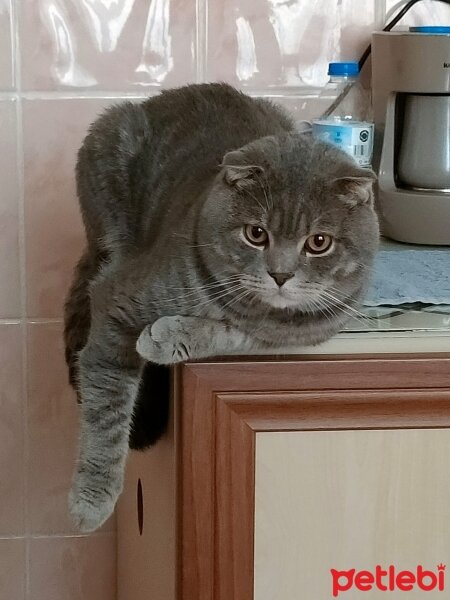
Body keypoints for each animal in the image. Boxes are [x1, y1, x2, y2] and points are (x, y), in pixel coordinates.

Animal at [63, 82, 380, 532]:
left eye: (319, 242)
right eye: (256, 234)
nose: (280, 275)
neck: (254, 310)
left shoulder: (298, 334)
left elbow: (230, 335)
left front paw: (165, 336)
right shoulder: (117, 299)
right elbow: (106, 410)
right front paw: (92, 500)